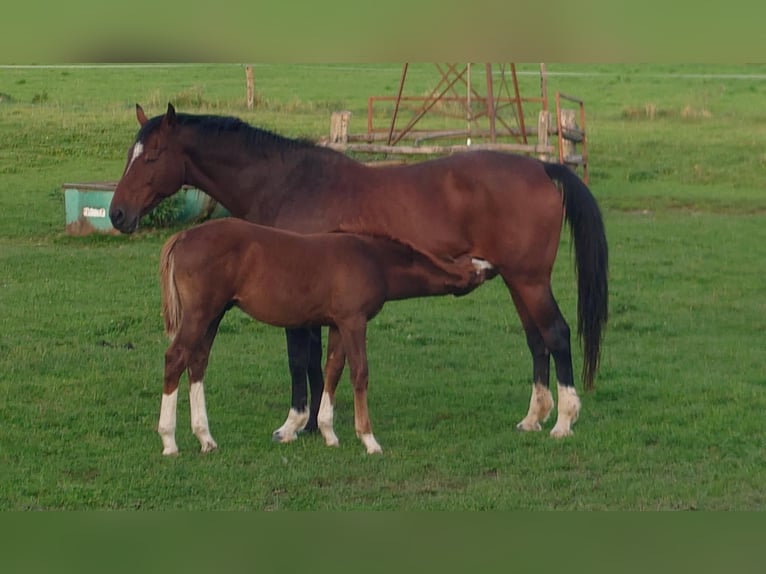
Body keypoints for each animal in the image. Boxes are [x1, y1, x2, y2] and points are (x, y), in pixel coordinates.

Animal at [159, 218, 492, 456]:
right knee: (175, 358)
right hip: (200, 314)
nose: (490, 265)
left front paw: (328, 433)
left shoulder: (337, 324)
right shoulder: (354, 321)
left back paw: (206, 439)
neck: (373, 259)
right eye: (470, 267)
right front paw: (369, 440)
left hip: (214, 315)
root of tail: (183, 236)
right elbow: (359, 373)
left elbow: (332, 370)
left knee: (198, 362)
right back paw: (169, 441)